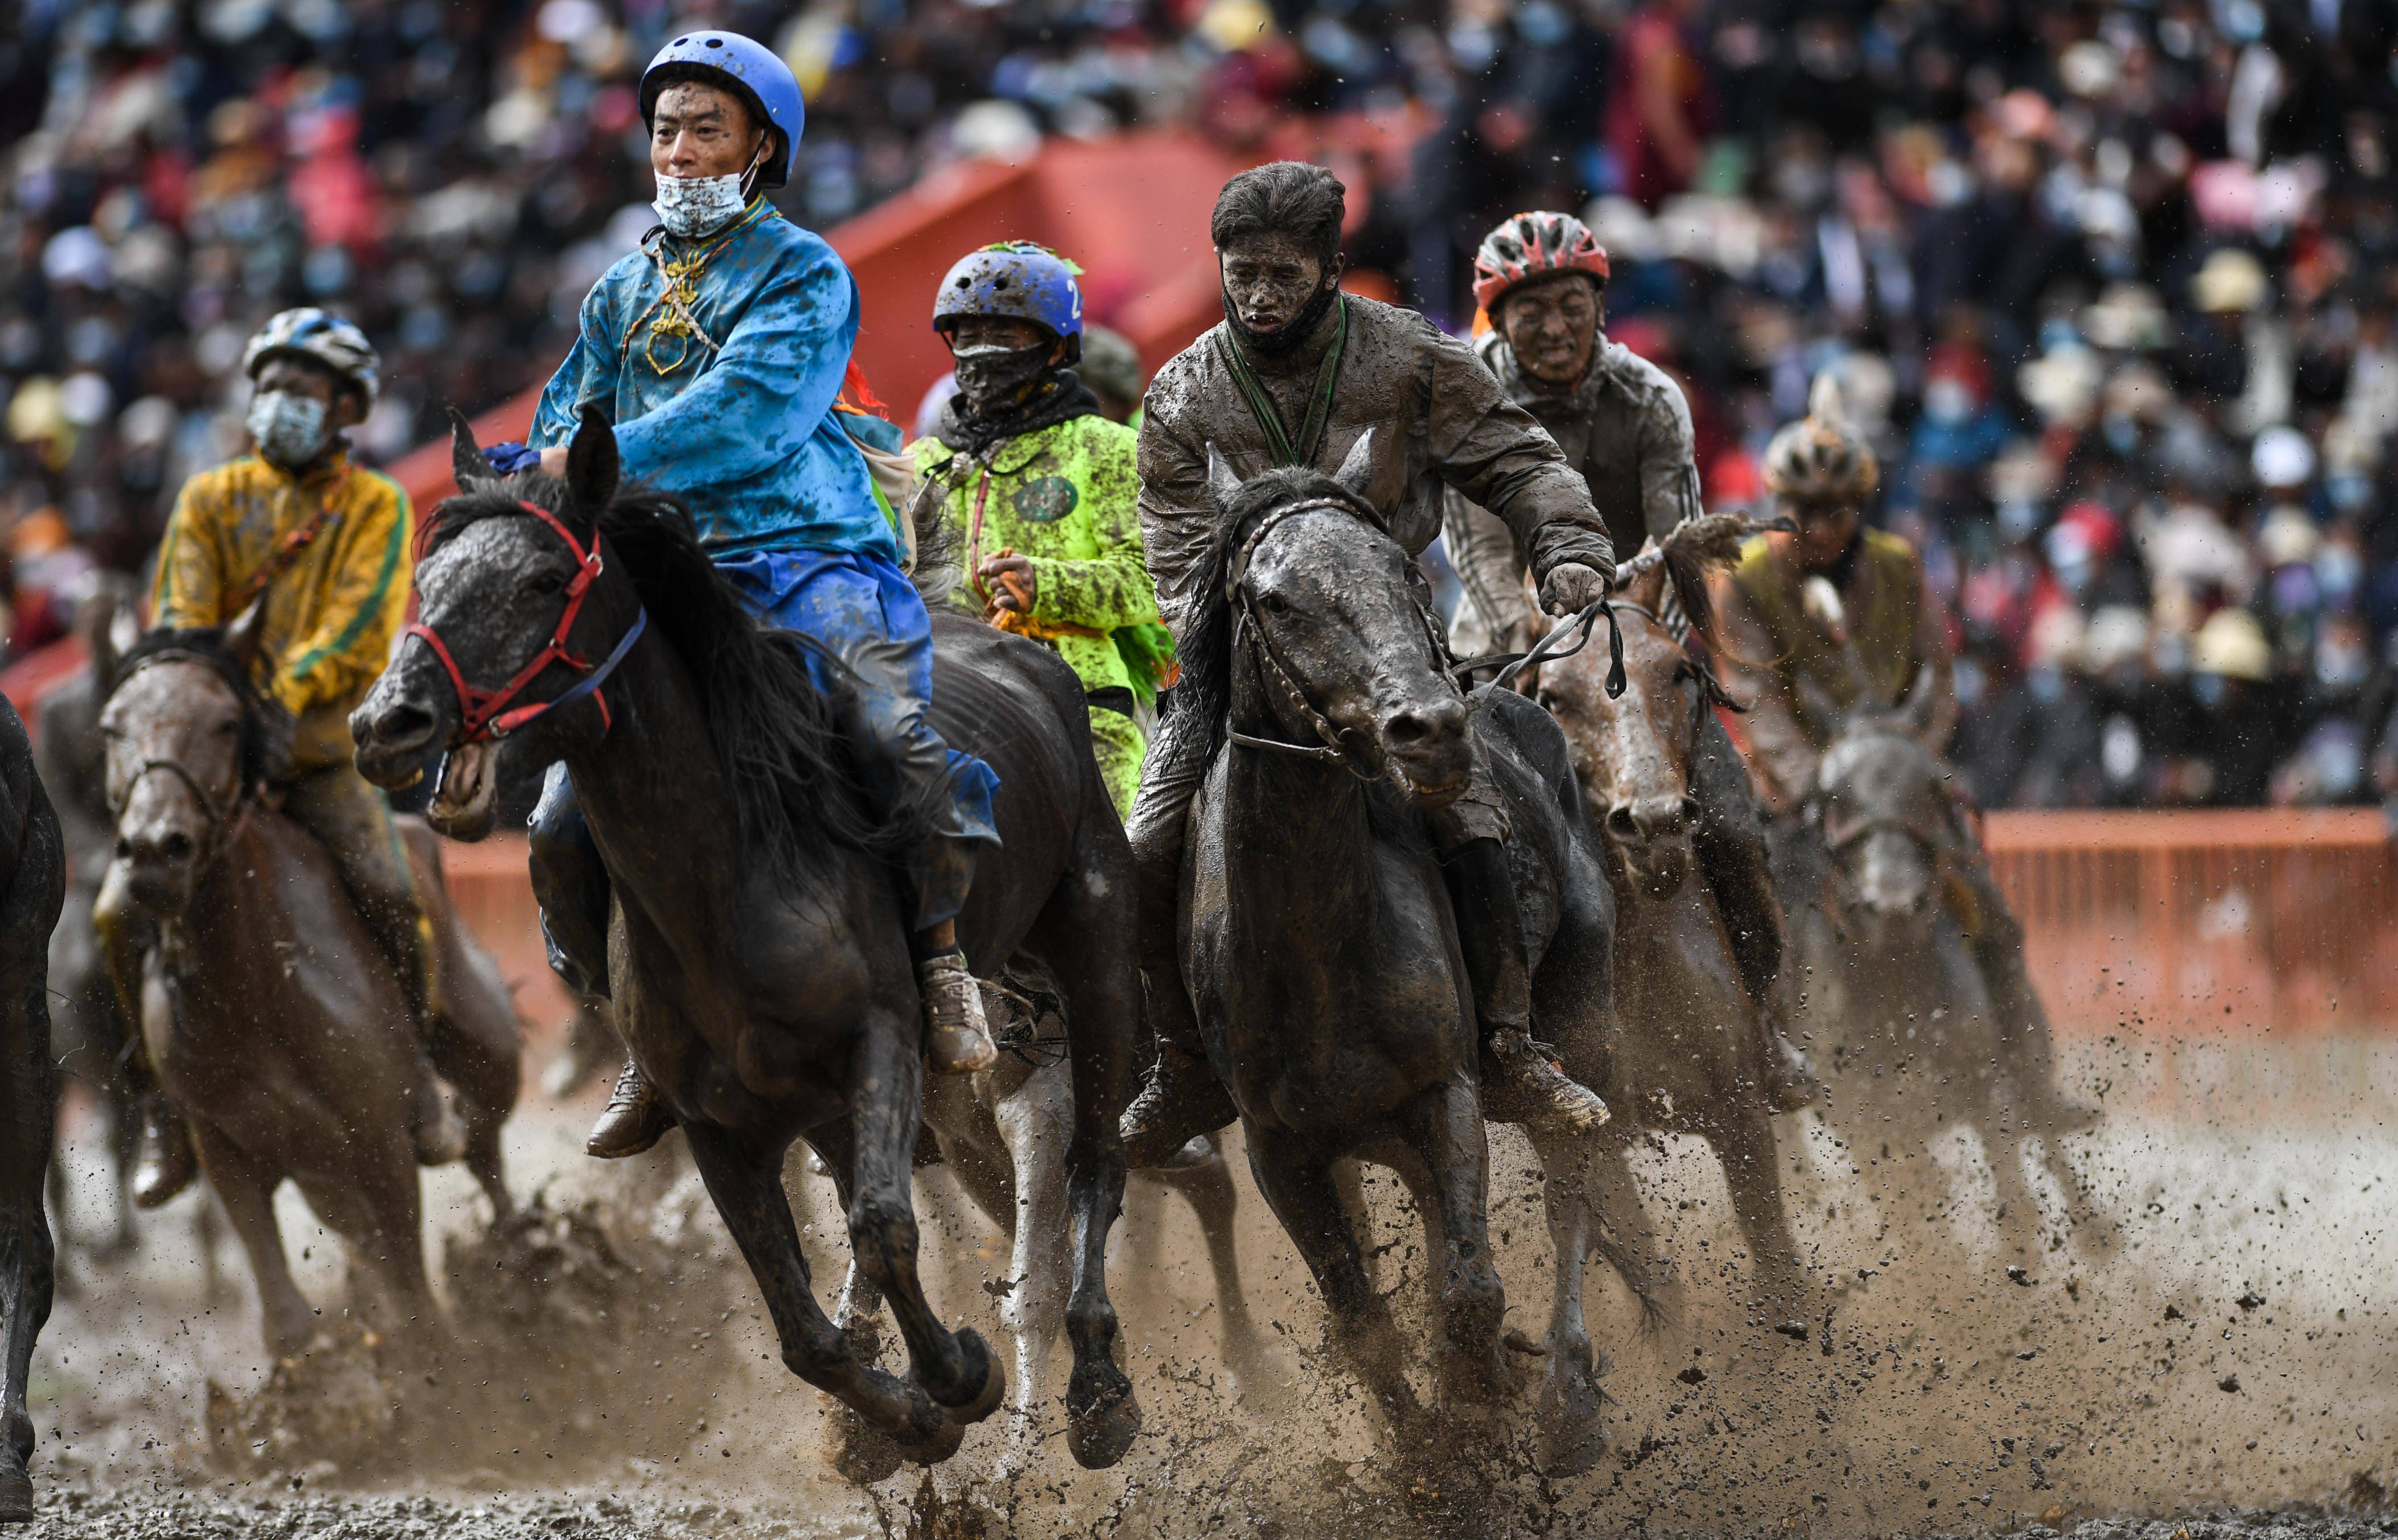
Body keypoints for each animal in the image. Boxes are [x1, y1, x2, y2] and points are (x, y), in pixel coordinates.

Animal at [350, 407, 1146, 1458]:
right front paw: (907, 1416)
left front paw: (960, 1377)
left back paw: (1098, 1386)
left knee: (1095, 1158)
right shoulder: (717, 1122)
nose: (387, 721)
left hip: (1094, 942)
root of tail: (1020, 648)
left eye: (542, 581)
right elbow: (804, 1328)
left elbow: (884, 1225)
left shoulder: (882, 1043)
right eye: (431, 577)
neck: (730, 887)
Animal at [1525, 516, 1803, 1324]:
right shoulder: (1587, 1137)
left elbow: (1778, 1266)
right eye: (1552, 696)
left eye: (1679, 672)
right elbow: (1656, 1279)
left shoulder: (1739, 1115)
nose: (1651, 821)